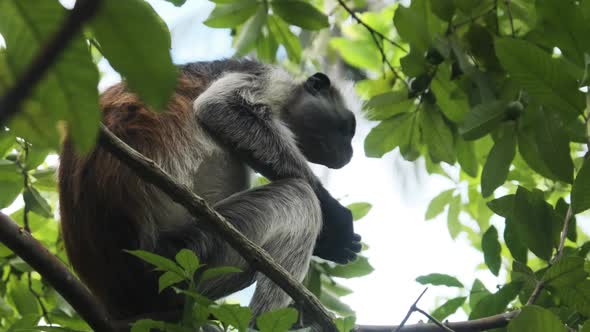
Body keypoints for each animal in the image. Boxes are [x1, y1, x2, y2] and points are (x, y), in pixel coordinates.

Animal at [60, 59, 364, 324]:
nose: (348, 154)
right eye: (348, 129)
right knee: (301, 196)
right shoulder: (267, 77)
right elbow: (220, 108)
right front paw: (336, 221)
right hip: (185, 253)